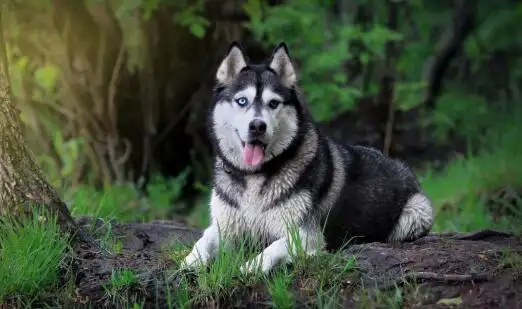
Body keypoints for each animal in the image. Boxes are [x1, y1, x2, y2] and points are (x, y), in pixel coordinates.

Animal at [181, 42, 432, 274]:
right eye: (242, 101)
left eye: (273, 103)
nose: (257, 126)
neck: (254, 176)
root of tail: (401, 165)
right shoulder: (224, 227)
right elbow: (203, 241)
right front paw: (189, 262)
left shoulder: (305, 234)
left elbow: (273, 248)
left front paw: (250, 267)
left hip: (417, 213)